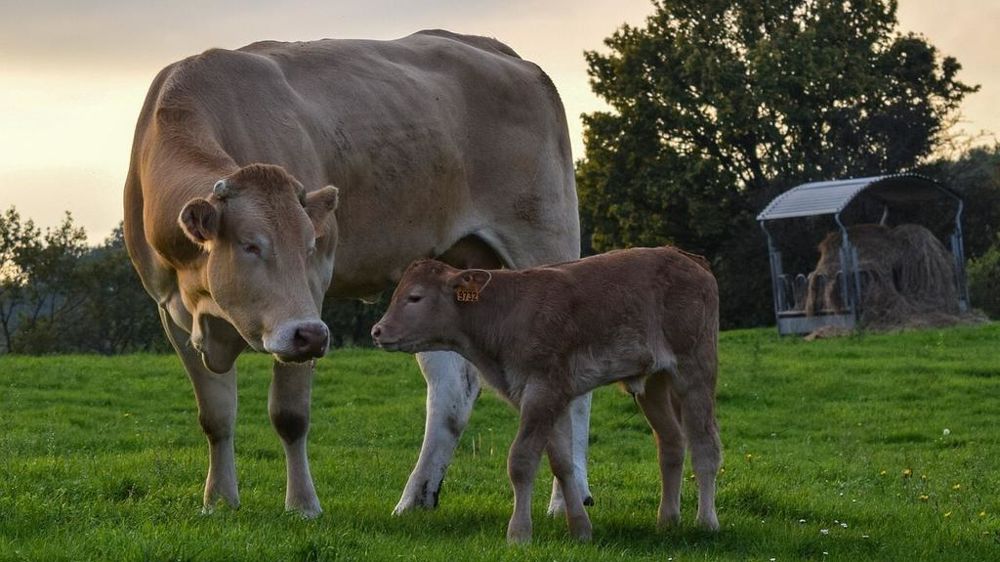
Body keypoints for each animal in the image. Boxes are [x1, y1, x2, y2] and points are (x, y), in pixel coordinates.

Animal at [122, 30, 592, 518]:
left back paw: (567, 500)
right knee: (451, 393)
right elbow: (215, 417)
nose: (310, 334)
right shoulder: (171, 312)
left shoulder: (310, 305)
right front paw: (219, 501)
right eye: (250, 245)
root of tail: (501, 52)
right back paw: (416, 498)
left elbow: (290, 416)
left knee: (573, 389)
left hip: (546, 240)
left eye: (311, 246)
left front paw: (303, 505)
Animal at [371, 247, 723, 543]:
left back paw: (706, 521)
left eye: (415, 297)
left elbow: (522, 460)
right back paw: (667, 519)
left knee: (705, 445)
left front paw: (519, 533)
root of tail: (688, 258)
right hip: (654, 383)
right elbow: (562, 463)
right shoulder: (548, 395)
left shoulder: (542, 390)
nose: (377, 330)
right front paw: (580, 528)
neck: (506, 313)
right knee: (672, 443)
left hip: (695, 367)